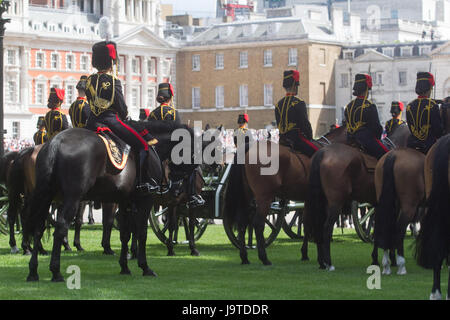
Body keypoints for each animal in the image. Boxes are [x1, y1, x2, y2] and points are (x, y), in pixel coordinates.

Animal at [24, 120, 200, 282]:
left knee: (38, 228)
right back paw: (56, 271)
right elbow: (141, 232)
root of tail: (55, 142)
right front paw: (145, 267)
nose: (177, 189)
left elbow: (125, 234)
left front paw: (125, 266)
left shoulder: (125, 201)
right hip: (72, 198)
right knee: (60, 227)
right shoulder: (145, 200)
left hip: (46, 195)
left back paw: (33, 271)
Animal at [223, 126, 346, 266]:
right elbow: (316, 222)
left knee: (242, 223)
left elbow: (306, 223)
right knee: (258, 223)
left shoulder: (308, 200)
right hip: (264, 198)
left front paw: (305, 253)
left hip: (247, 197)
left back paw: (244, 257)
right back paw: (264, 258)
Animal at [304, 125, 410, 270]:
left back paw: (321, 262)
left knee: (318, 225)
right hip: (335, 203)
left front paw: (376, 258)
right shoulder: (393, 204)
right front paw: (391, 259)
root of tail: (322, 152)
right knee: (326, 227)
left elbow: (377, 229)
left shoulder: (377, 205)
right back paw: (329, 262)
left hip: (322, 202)